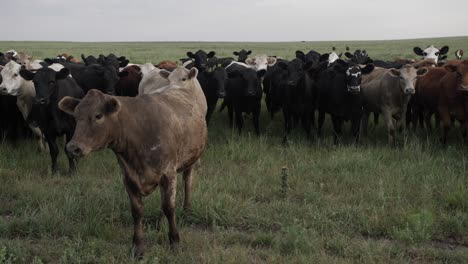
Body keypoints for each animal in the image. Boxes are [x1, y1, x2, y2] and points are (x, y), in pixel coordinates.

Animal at [57, 65, 207, 258]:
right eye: (76, 117)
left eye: (98, 116)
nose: (73, 147)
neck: (138, 131)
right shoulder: (129, 177)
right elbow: (137, 211)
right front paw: (138, 247)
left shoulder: (168, 173)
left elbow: (169, 207)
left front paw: (175, 241)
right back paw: (160, 223)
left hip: (190, 160)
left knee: (187, 181)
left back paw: (187, 209)